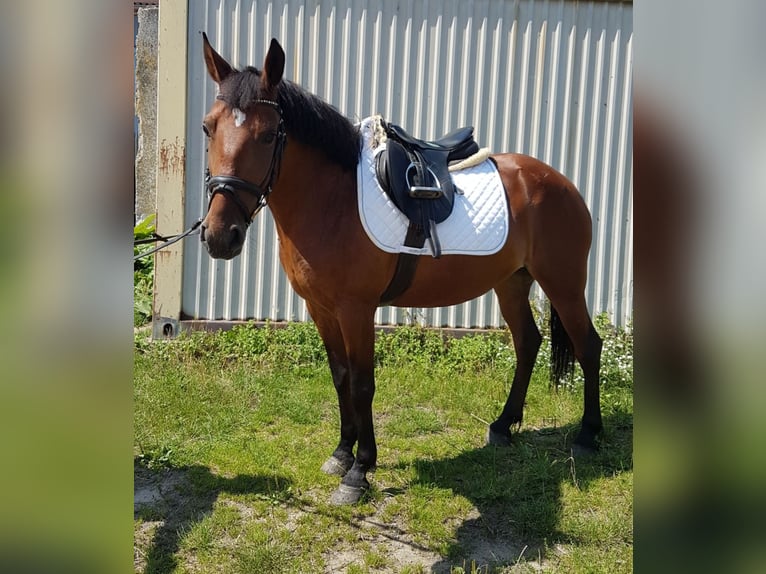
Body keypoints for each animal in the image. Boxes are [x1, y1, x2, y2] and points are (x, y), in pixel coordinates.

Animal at [201, 35, 604, 504]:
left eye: (267, 135)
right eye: (209, 128)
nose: (220, 236)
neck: (332, 200)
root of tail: (560, 182)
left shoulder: (357, 310)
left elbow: (362, 384)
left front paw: (359, 471)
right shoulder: (321, 309)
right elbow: (340, 377)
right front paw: (341, 453)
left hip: (564, 282)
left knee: (588, 345)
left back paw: (588, 435)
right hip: (511, 283)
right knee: (528, 343)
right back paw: (503, 426)